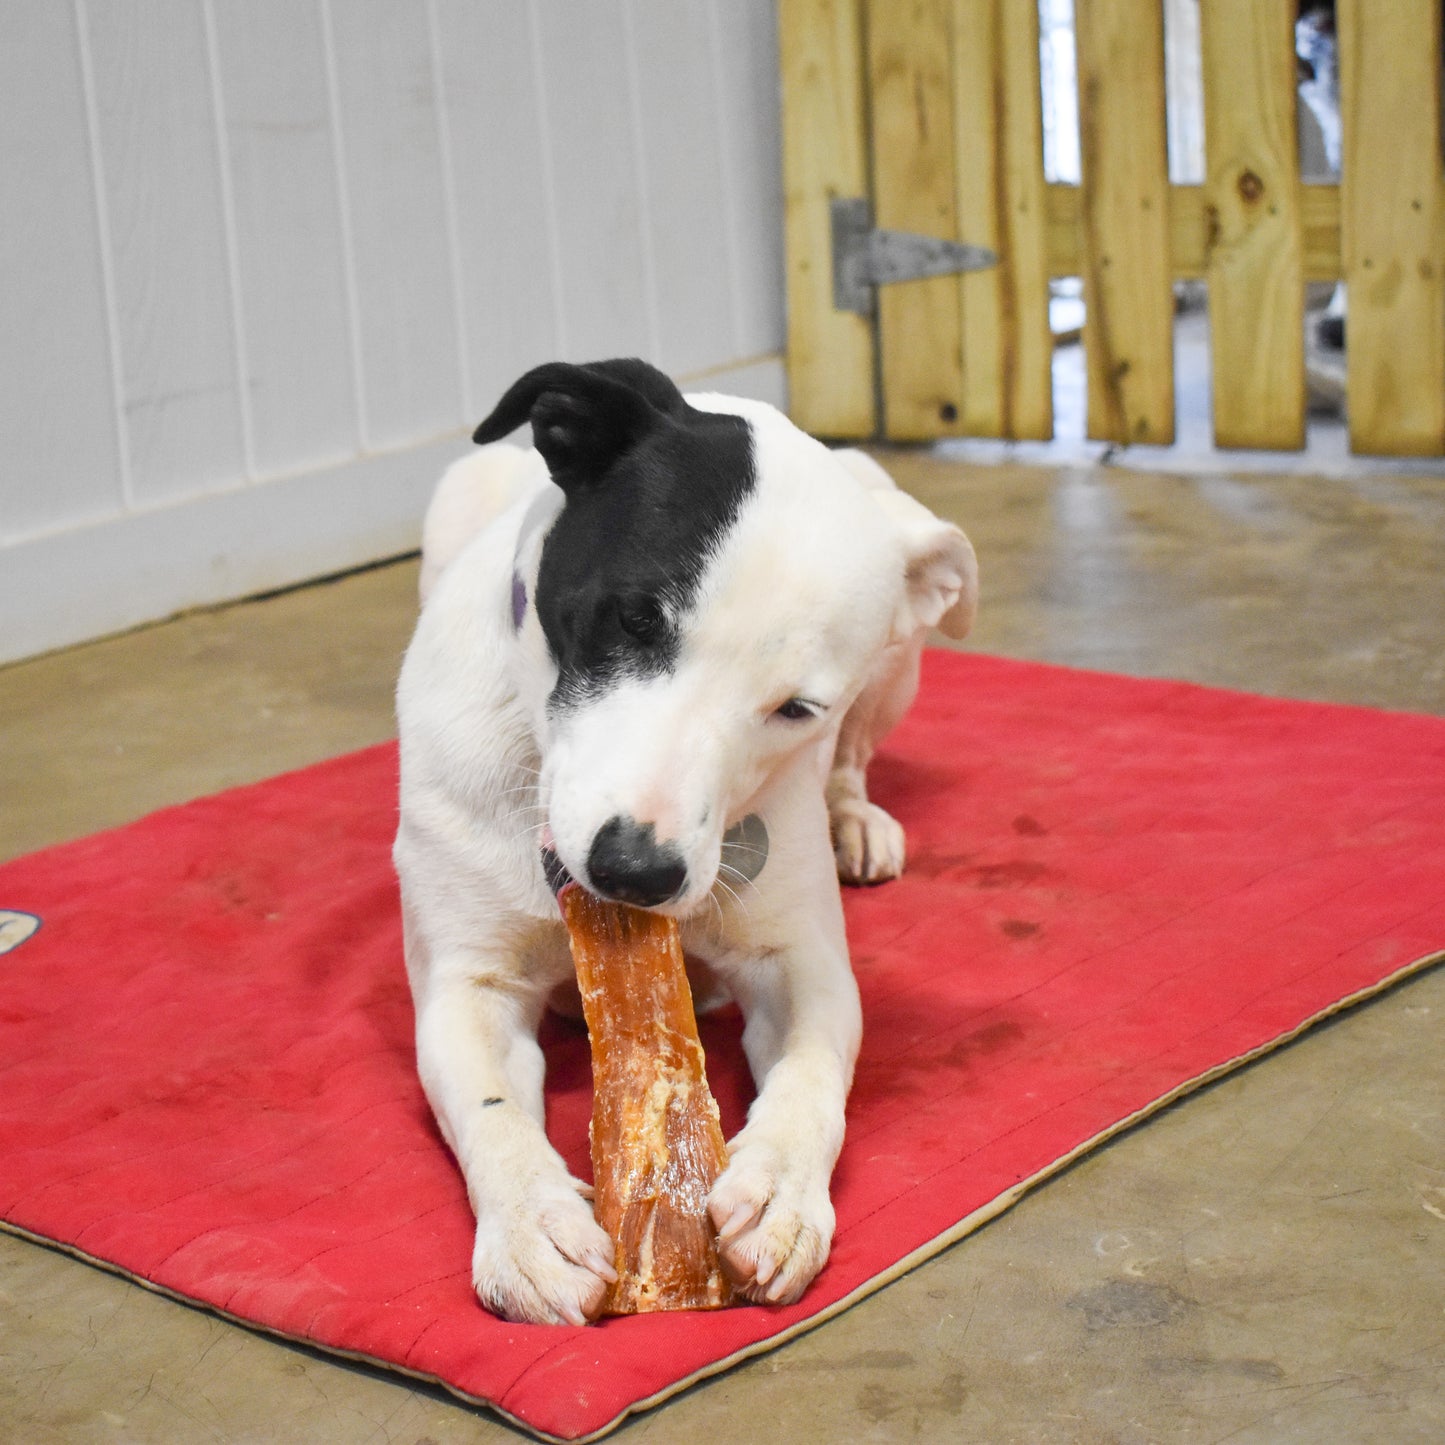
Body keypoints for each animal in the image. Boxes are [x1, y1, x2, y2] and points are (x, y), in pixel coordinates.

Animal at [393, 358, 982, 1323]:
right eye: (634, 618)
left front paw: (780, 1188)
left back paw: (853, 817)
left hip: (900, 659)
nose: (635, 871)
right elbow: (490, 1107)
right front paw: (530, 1223)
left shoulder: (800, 961)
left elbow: (813, 1073)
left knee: (856, 758)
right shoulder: (467, 982)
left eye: (796, 708)